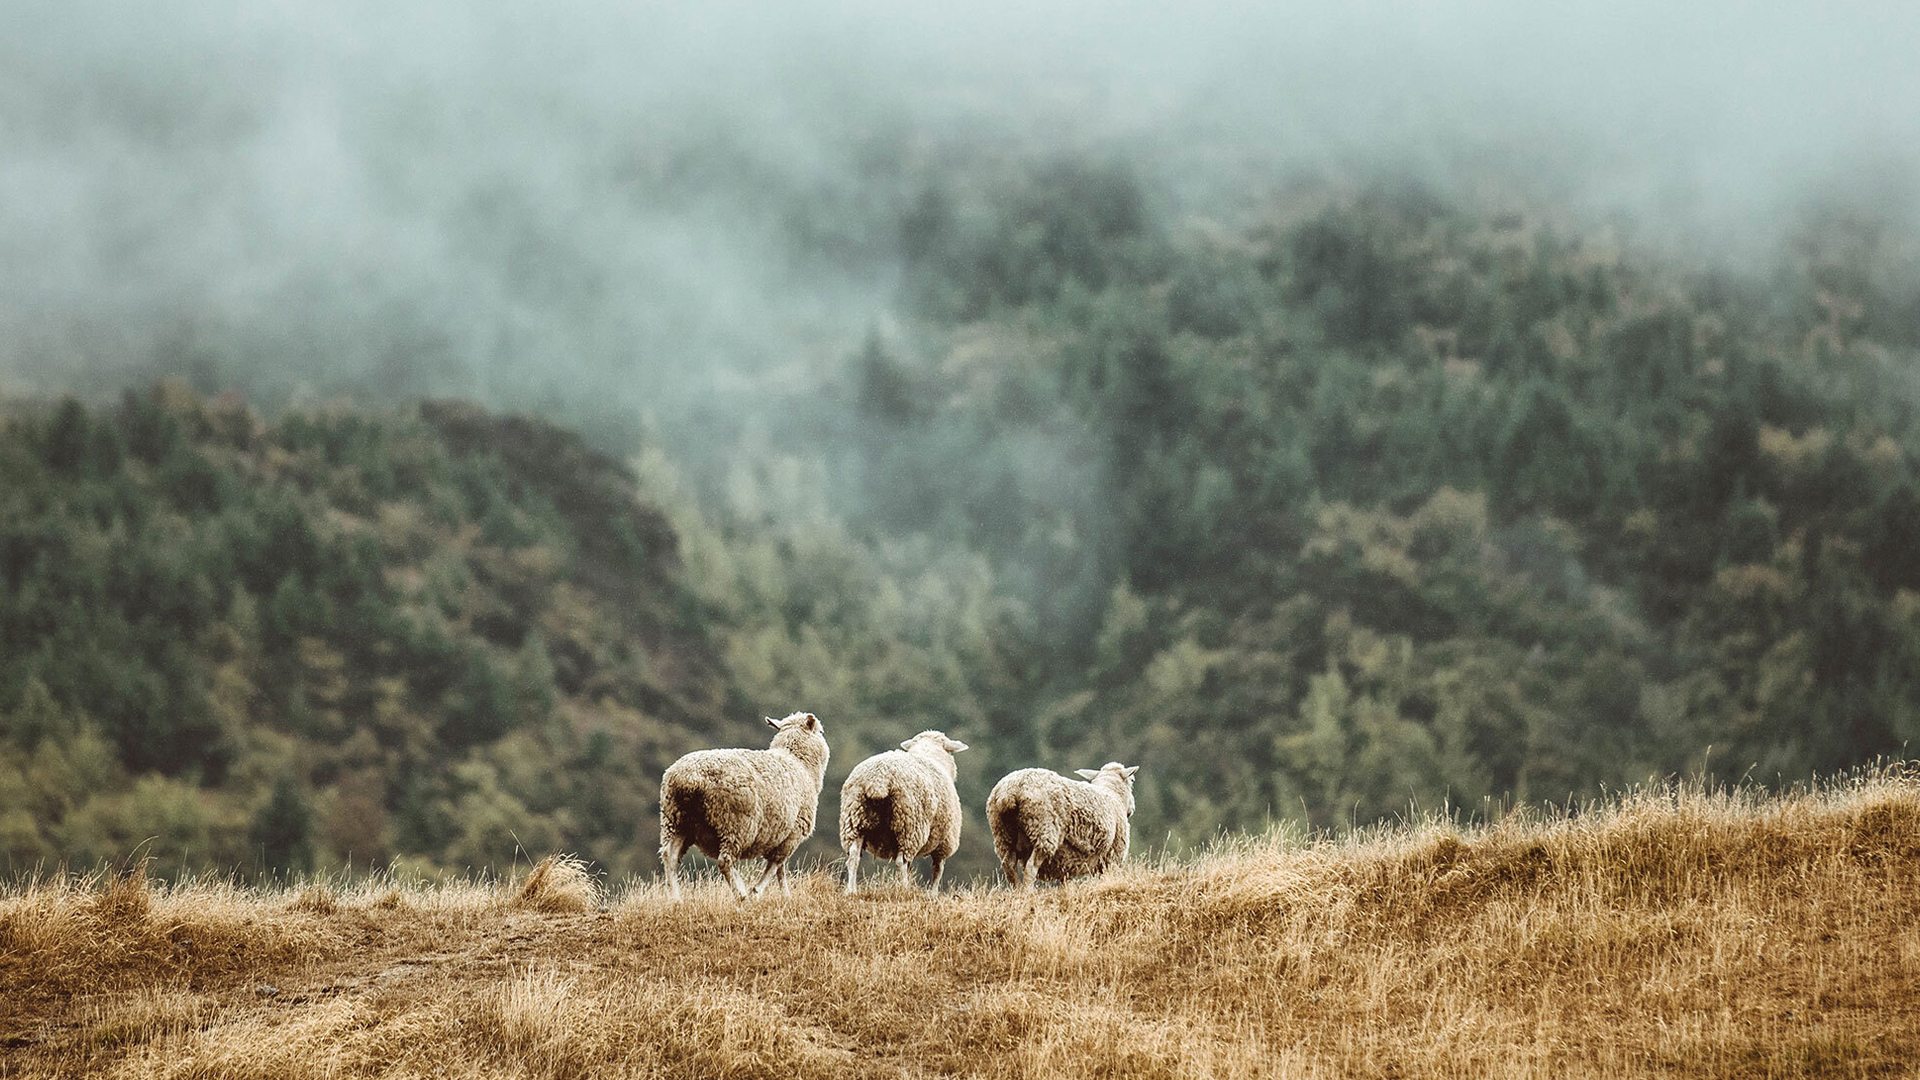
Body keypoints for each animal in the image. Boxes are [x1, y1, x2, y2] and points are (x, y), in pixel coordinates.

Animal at [658, 711, 830, 901]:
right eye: (821, 732)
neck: (798, 761)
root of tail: (690, 778)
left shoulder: (782, 836)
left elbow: (780, 869)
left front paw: (784, 895)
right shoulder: (793, 834)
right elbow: (775, 866)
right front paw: (760, 892)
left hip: (675, 820)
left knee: (669, 856)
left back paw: (675, 899)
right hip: (735, 824)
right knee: (725, 861)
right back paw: (741, 894)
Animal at [839, 730, 969, 893]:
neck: (929, 754)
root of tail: (878, 779)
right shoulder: (944, 844)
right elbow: (938, 870)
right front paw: (932, 893)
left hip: (854, 820)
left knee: (853, 857)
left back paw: (851, 890)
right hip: (910, 828)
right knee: (901, 862)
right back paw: (904, 889)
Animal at [986, 762, 1139, 888]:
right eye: (1132, 780)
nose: (1132, 809)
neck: (1113, 795)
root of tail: (1010, 791)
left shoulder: (1066, 863)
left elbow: (1065, 884)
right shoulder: (1111, 859)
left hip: (1003, 834)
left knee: (1009, 866)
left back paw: (1017, 892)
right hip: (1044, 830)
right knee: (1030, 868)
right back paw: (1028, 893)